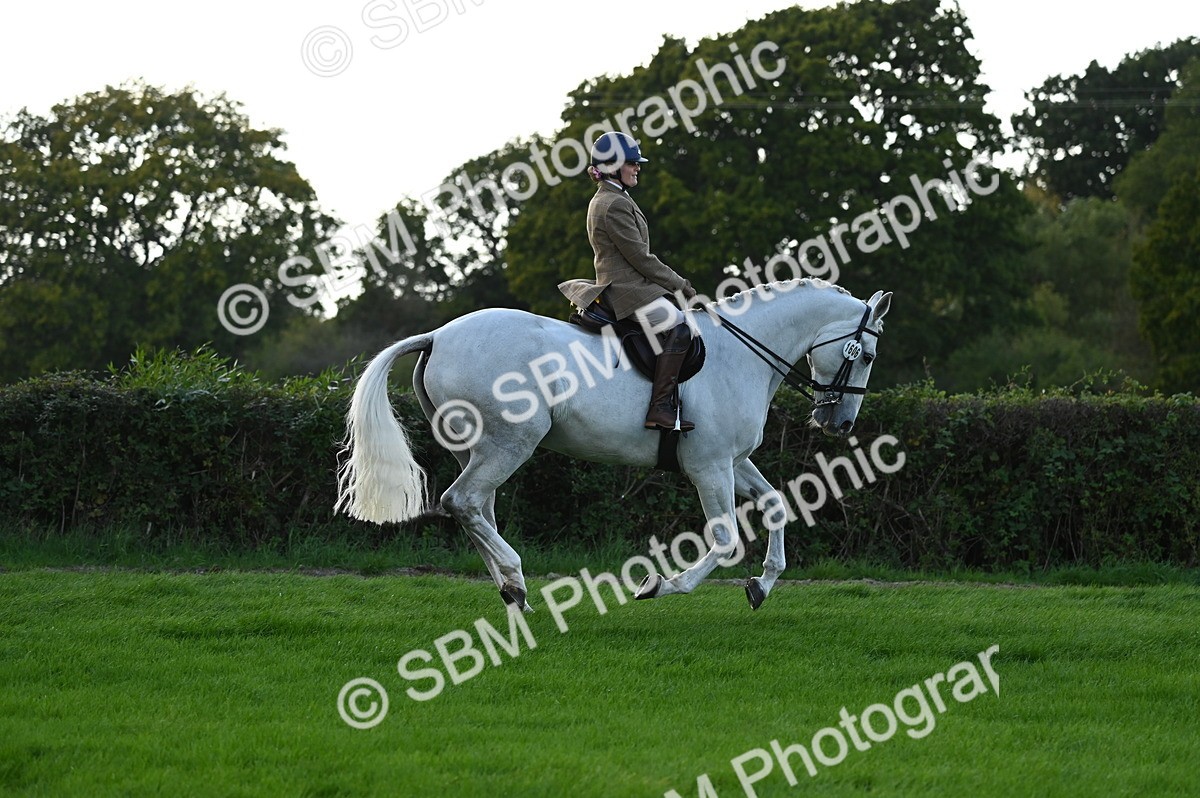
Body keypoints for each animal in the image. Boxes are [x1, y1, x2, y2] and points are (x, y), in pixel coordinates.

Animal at [335, 279, 891, 611]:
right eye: (864, 354)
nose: (840, 423)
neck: (742, 354)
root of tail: (437, 335)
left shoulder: (734, 461)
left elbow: (775, 504)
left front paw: (763, 584)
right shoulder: (710, 466)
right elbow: (725, 538)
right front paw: (662, 584)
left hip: (476, 448)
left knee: (476, 509)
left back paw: (512, 593)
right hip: (510, 442)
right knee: (463, 501)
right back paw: (516, 577)